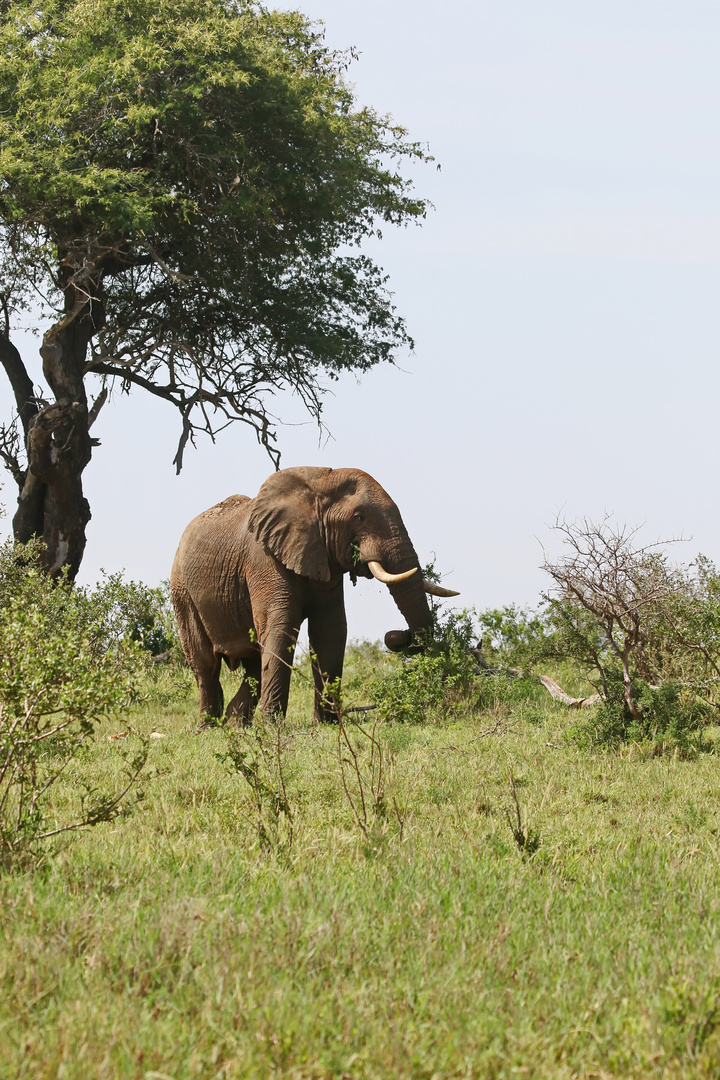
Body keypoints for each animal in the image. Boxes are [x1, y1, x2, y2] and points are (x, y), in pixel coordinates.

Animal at [171, 466, 459, 725]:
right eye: (359, 517)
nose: (396, 634)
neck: (319, 483)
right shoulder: (264, 559)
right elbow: (281, 628)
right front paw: (271, 726)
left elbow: (330, 632)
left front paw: (328, 722)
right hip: (182, 591)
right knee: (205, 663)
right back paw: (208, 727)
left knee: (252, 664)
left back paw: (234, 724)